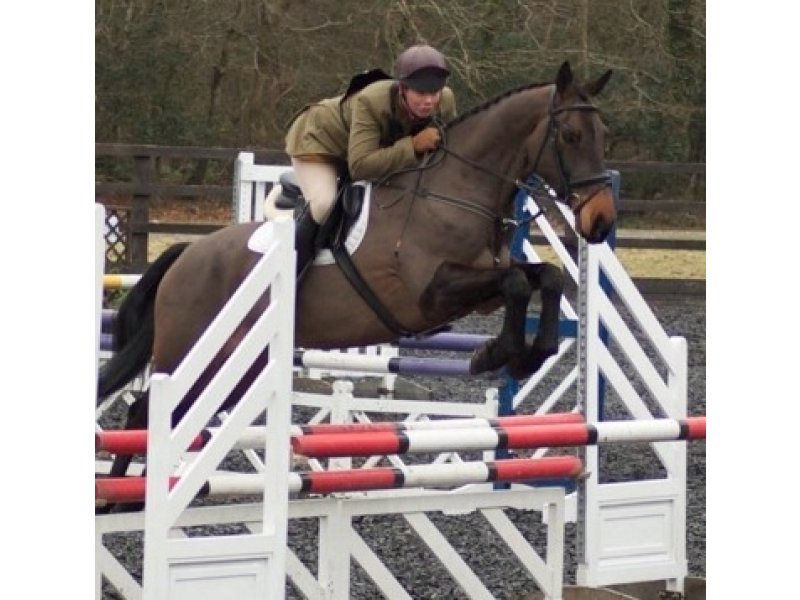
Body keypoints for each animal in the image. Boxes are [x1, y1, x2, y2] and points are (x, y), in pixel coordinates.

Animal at [97, 61, 615, 501]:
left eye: (602, 136)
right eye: (570, 135)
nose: (601, 222)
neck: (455, 190)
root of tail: (186, 256)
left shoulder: (480, 289)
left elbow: (543, 276)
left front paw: (529, 354)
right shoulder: (431, 295)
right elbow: (515, 284)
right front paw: (498, 353)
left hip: (237, 365)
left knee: (163, 417)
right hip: (190, 353)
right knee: (145, 412)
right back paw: (120, 504)